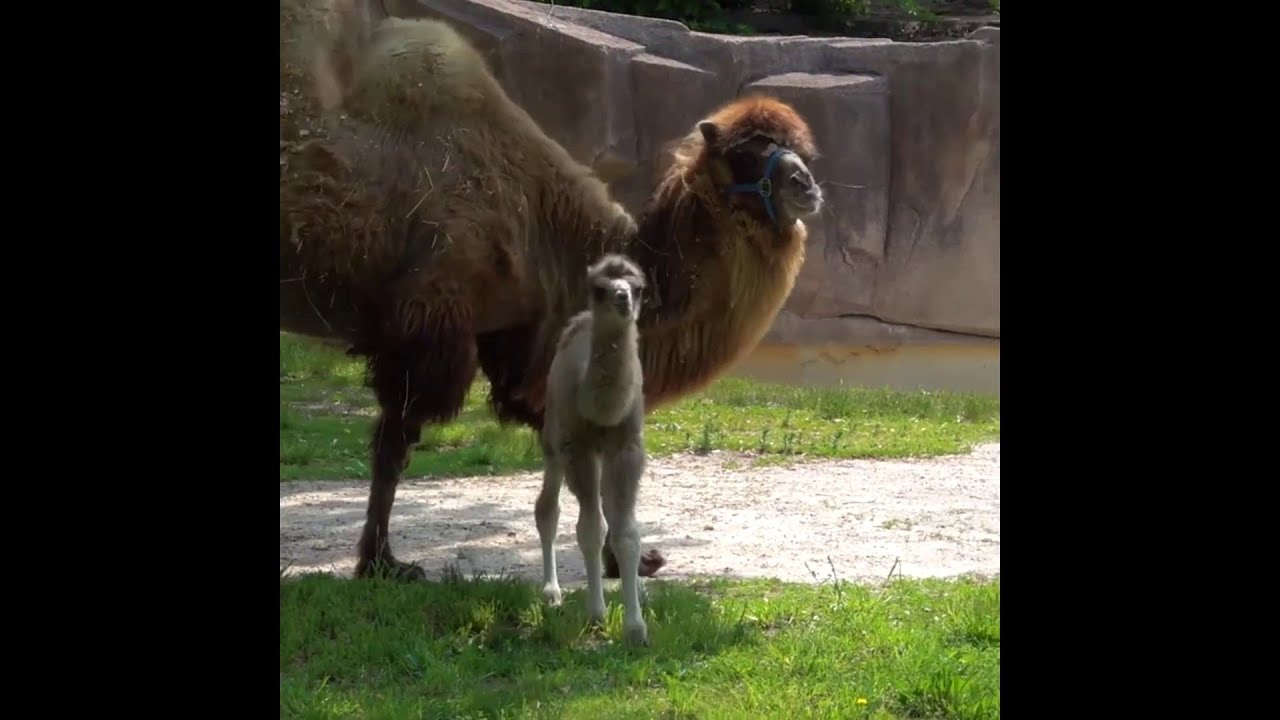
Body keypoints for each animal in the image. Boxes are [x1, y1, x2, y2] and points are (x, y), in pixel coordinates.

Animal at [279, 0, 825, 581]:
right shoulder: (429, 322)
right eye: (745, 154)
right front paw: (381, 562)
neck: (543, 222)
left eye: (800, 151)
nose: (807, 188)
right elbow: (393, 446)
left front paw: (630, 558)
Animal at [537, 254, 650, 646]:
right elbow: (589, 529)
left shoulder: (627, 447)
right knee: (547, 509)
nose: (622, 298)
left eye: (638, 287)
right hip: (553, 440)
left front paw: (636, 628)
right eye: (599, 288)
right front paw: (597, 615)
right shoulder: (577, 448)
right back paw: (551, 593)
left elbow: (626, 532)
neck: (601, 411)